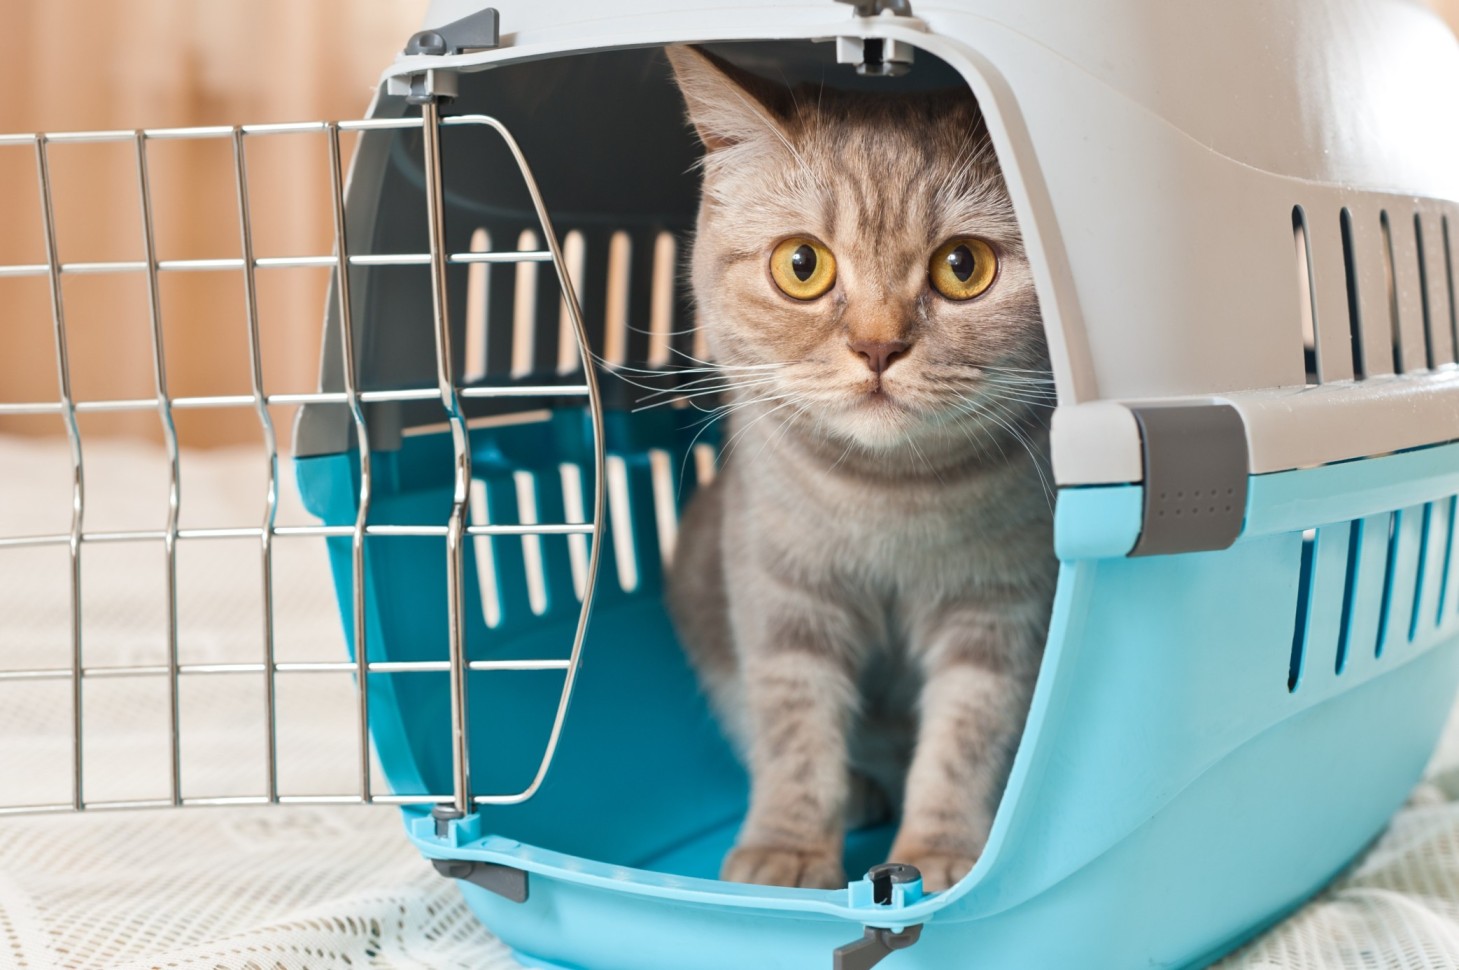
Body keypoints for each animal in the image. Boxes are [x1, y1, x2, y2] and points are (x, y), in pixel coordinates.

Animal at [665, 45, 1062, 892]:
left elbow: (963, 742)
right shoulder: (784, 601)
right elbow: (793, 731)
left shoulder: (999, 615)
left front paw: (938, 856)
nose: (878, 346)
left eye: (962, 266)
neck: (890, 498)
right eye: (801, 265)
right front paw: (787, 851)